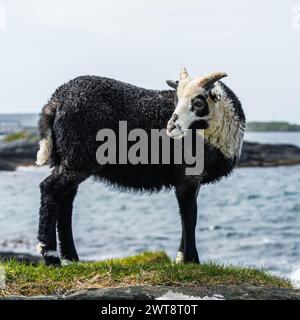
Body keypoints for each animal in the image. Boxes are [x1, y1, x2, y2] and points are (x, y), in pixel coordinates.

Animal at [35, 69, 246, 266]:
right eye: (177, 99)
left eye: (199, 102)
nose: (170, 127)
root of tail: (55, 100)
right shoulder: (187, 175)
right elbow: (190, 217)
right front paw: (192, 260)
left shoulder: (192, 179)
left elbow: (187, 215)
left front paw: (180, 259)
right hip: (79, 156)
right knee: (50, 189)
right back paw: (51, 257)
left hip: (70, 158)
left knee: (65, 200)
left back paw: (71, 258)